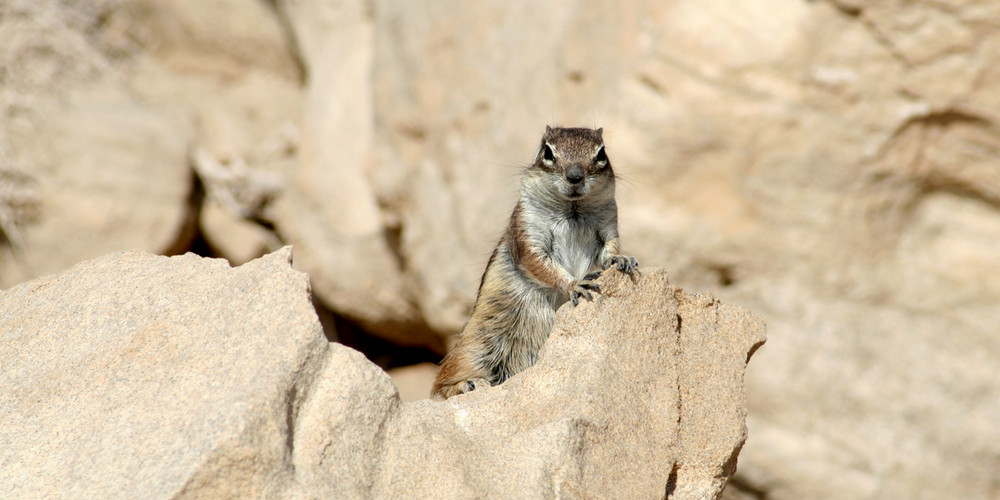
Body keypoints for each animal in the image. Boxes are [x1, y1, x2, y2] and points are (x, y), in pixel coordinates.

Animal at [432, 127, 640, 400]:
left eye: (601, 153)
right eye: (548, 152)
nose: (575, 176)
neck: (573, 209)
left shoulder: (607, 225)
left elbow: (609, 251)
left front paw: (621, 259)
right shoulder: (527, 231)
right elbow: (537, 262)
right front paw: (575, 284)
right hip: (477, 344)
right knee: (441, 381)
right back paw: (466, 384)